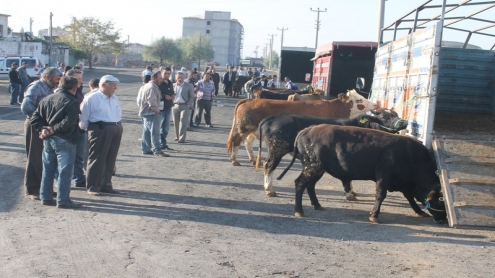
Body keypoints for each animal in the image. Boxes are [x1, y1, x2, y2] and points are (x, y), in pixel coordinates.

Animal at [228, 90, 380, 166]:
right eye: (359, 100)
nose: (376, 105)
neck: (334, 108)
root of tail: (250, 100)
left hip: (250, 131)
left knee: (247, 143)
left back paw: (253, 159)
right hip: (244, 129)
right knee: (236, 141)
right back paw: (235, 160)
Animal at [278, 125, 448, 223]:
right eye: (440, 201)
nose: (443, 220)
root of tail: (307, 130)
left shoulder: (404, 184)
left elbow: (410, 198)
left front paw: (419, 211)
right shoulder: (383, 176)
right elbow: (380, 195)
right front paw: (374, 215)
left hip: (317, 169)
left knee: (310, 185)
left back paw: (317, 205)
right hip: (313, 167)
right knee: (300, 183)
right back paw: (299, 211)